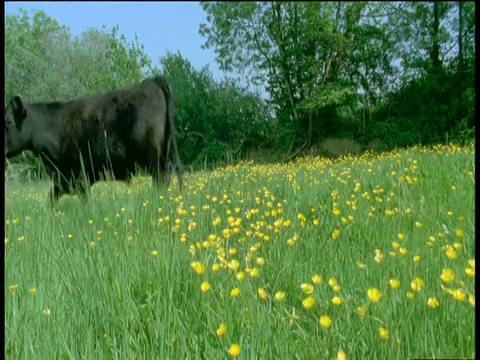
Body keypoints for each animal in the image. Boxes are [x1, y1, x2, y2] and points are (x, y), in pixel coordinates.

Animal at [4, 75, 183, 205]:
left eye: (9, 121)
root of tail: (153, 81)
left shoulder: (79, 174)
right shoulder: (63, 179)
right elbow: (51, 200)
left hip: (152, 157)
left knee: (160, 179)